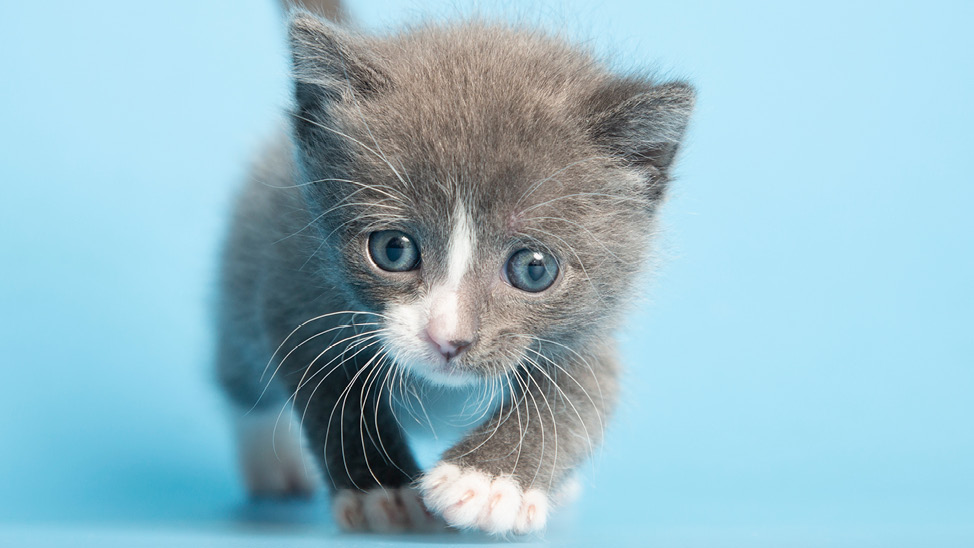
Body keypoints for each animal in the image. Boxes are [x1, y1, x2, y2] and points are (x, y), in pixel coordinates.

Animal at [218, 4, 696, 536]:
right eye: (393, 250)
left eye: (534, 269)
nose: (448, 339)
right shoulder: (296, 285)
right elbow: (332, 392)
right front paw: (382, 492)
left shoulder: (593, 328)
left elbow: (582, 393)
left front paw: (487, 483)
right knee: (239, 373)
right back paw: (271, 464)